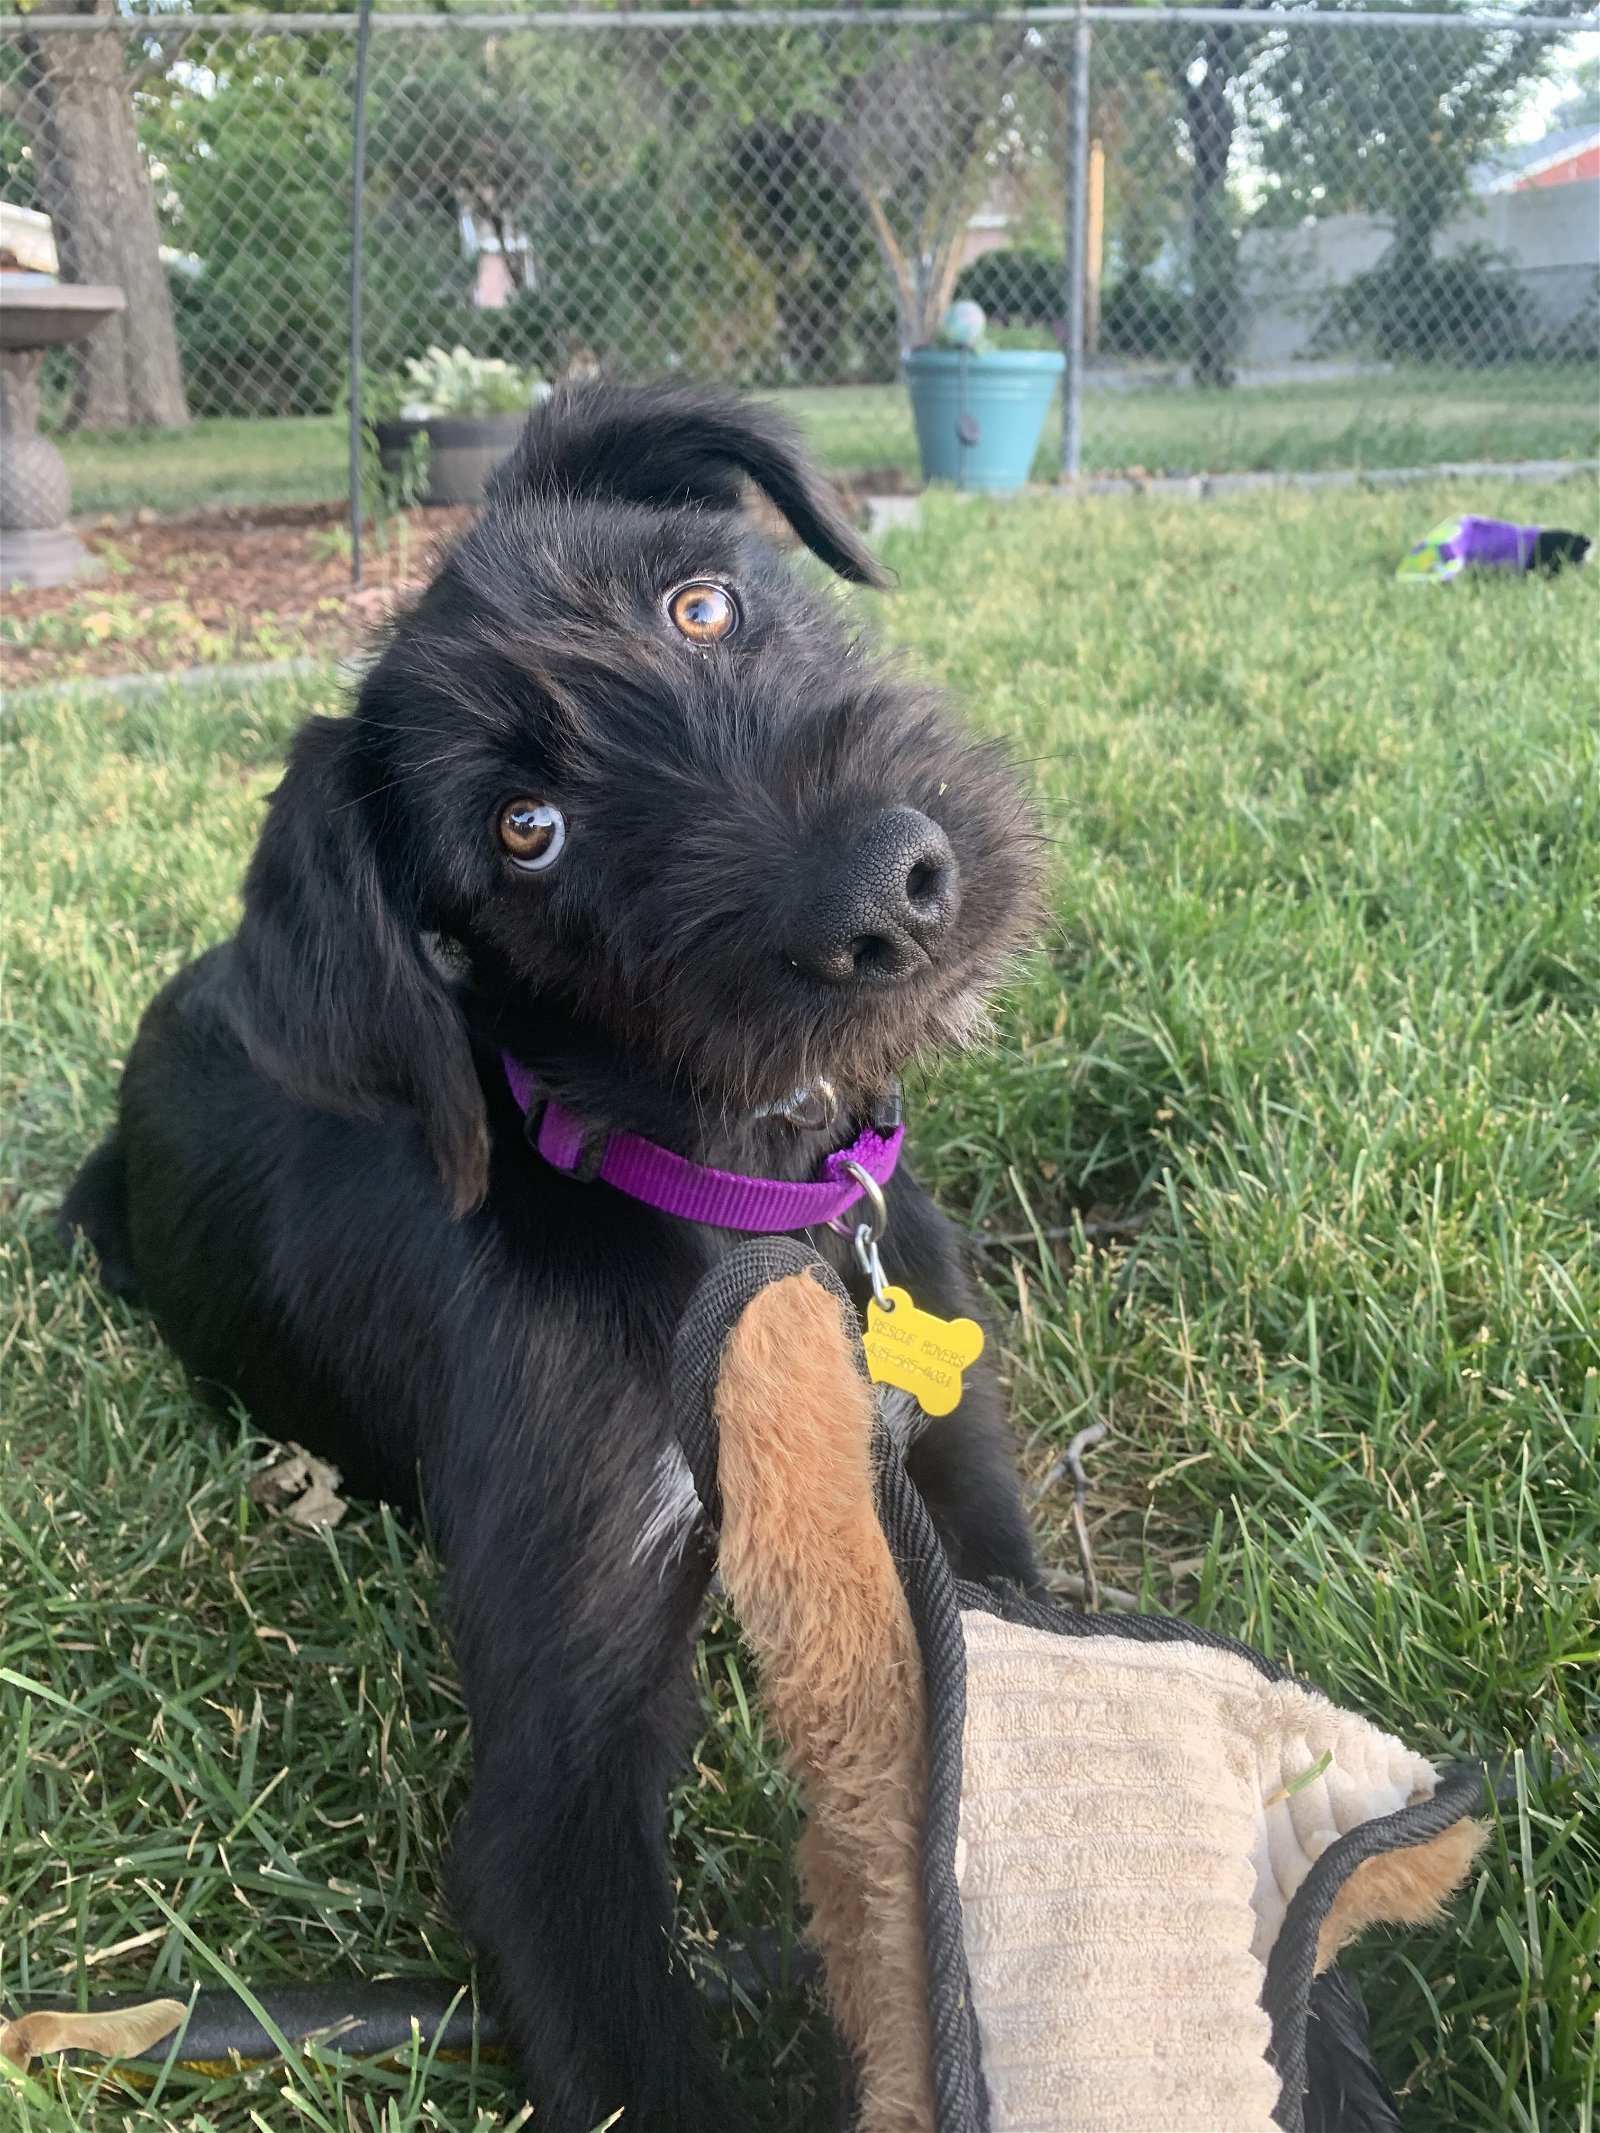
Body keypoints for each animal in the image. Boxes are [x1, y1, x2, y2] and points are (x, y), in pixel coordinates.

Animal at [59, 388, 1041, 2133]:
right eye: (527, 831)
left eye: (703, 604)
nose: (894, 891)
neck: (746, 1203)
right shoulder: (552, 1792)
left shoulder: (966, 1506)